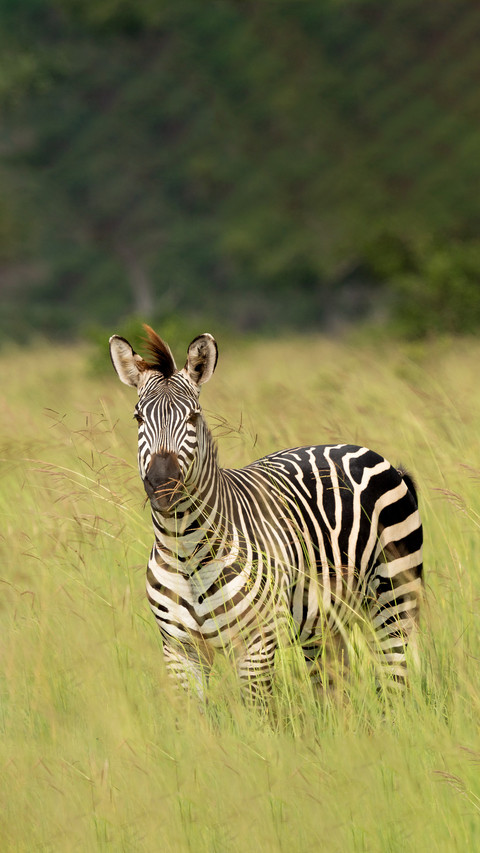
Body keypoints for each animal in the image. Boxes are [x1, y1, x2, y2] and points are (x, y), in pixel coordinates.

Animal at [109, 325, 423, 701]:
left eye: (193, 416)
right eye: (138, 417)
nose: (162, 486)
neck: (185, 551)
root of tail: (366, 451)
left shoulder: (256, 646)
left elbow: (258, 714)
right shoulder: (180, 651)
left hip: (394, 596)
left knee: (394, 680)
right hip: (324, 623)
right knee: (336, 692)